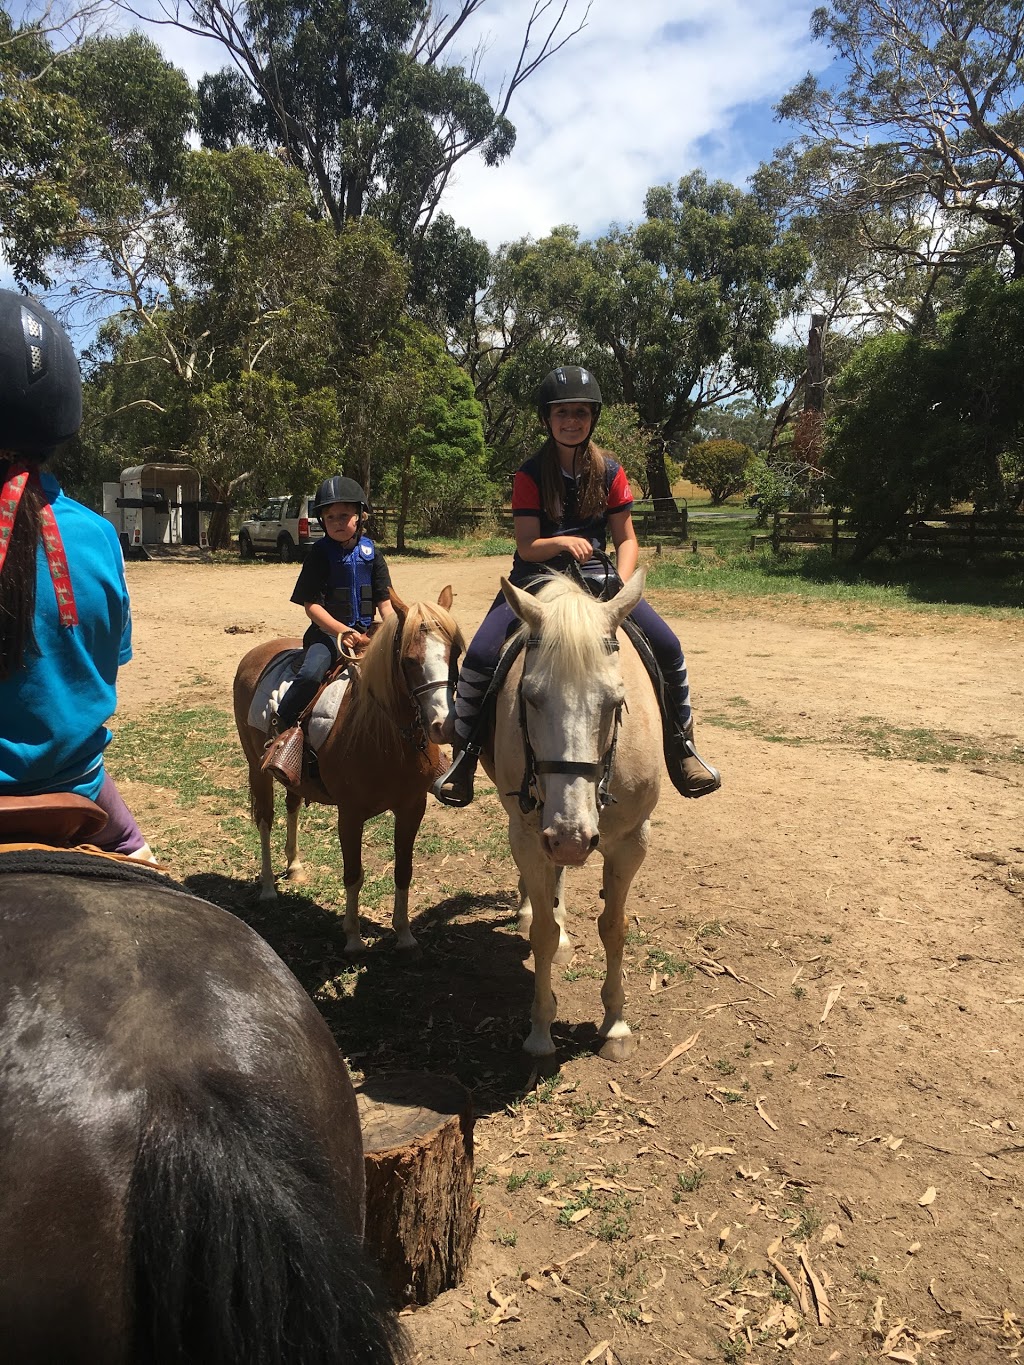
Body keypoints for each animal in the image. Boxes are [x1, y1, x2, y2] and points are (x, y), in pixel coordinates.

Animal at [234, 584, 464, 950]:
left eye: (454, 653)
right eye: (409, 660)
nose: (443, 725)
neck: (383, 736)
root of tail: (256, 653)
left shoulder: (412, 808)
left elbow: (403, 871)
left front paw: (404, 934)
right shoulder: (350, 814)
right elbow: (353, 874)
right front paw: (353, 937)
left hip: (294, 778)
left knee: (292, 806)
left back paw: (294, 866)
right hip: (257, 770)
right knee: (265, 821)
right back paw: (269, 887)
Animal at [483, 570, 660, 1059]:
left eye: (616, 701)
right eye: (529, 697)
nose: (570, 839)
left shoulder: (632, 842)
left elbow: (614, 927)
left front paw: (615, 1025)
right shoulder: (529, 836)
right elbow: (542, 932)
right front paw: (541, 1030)